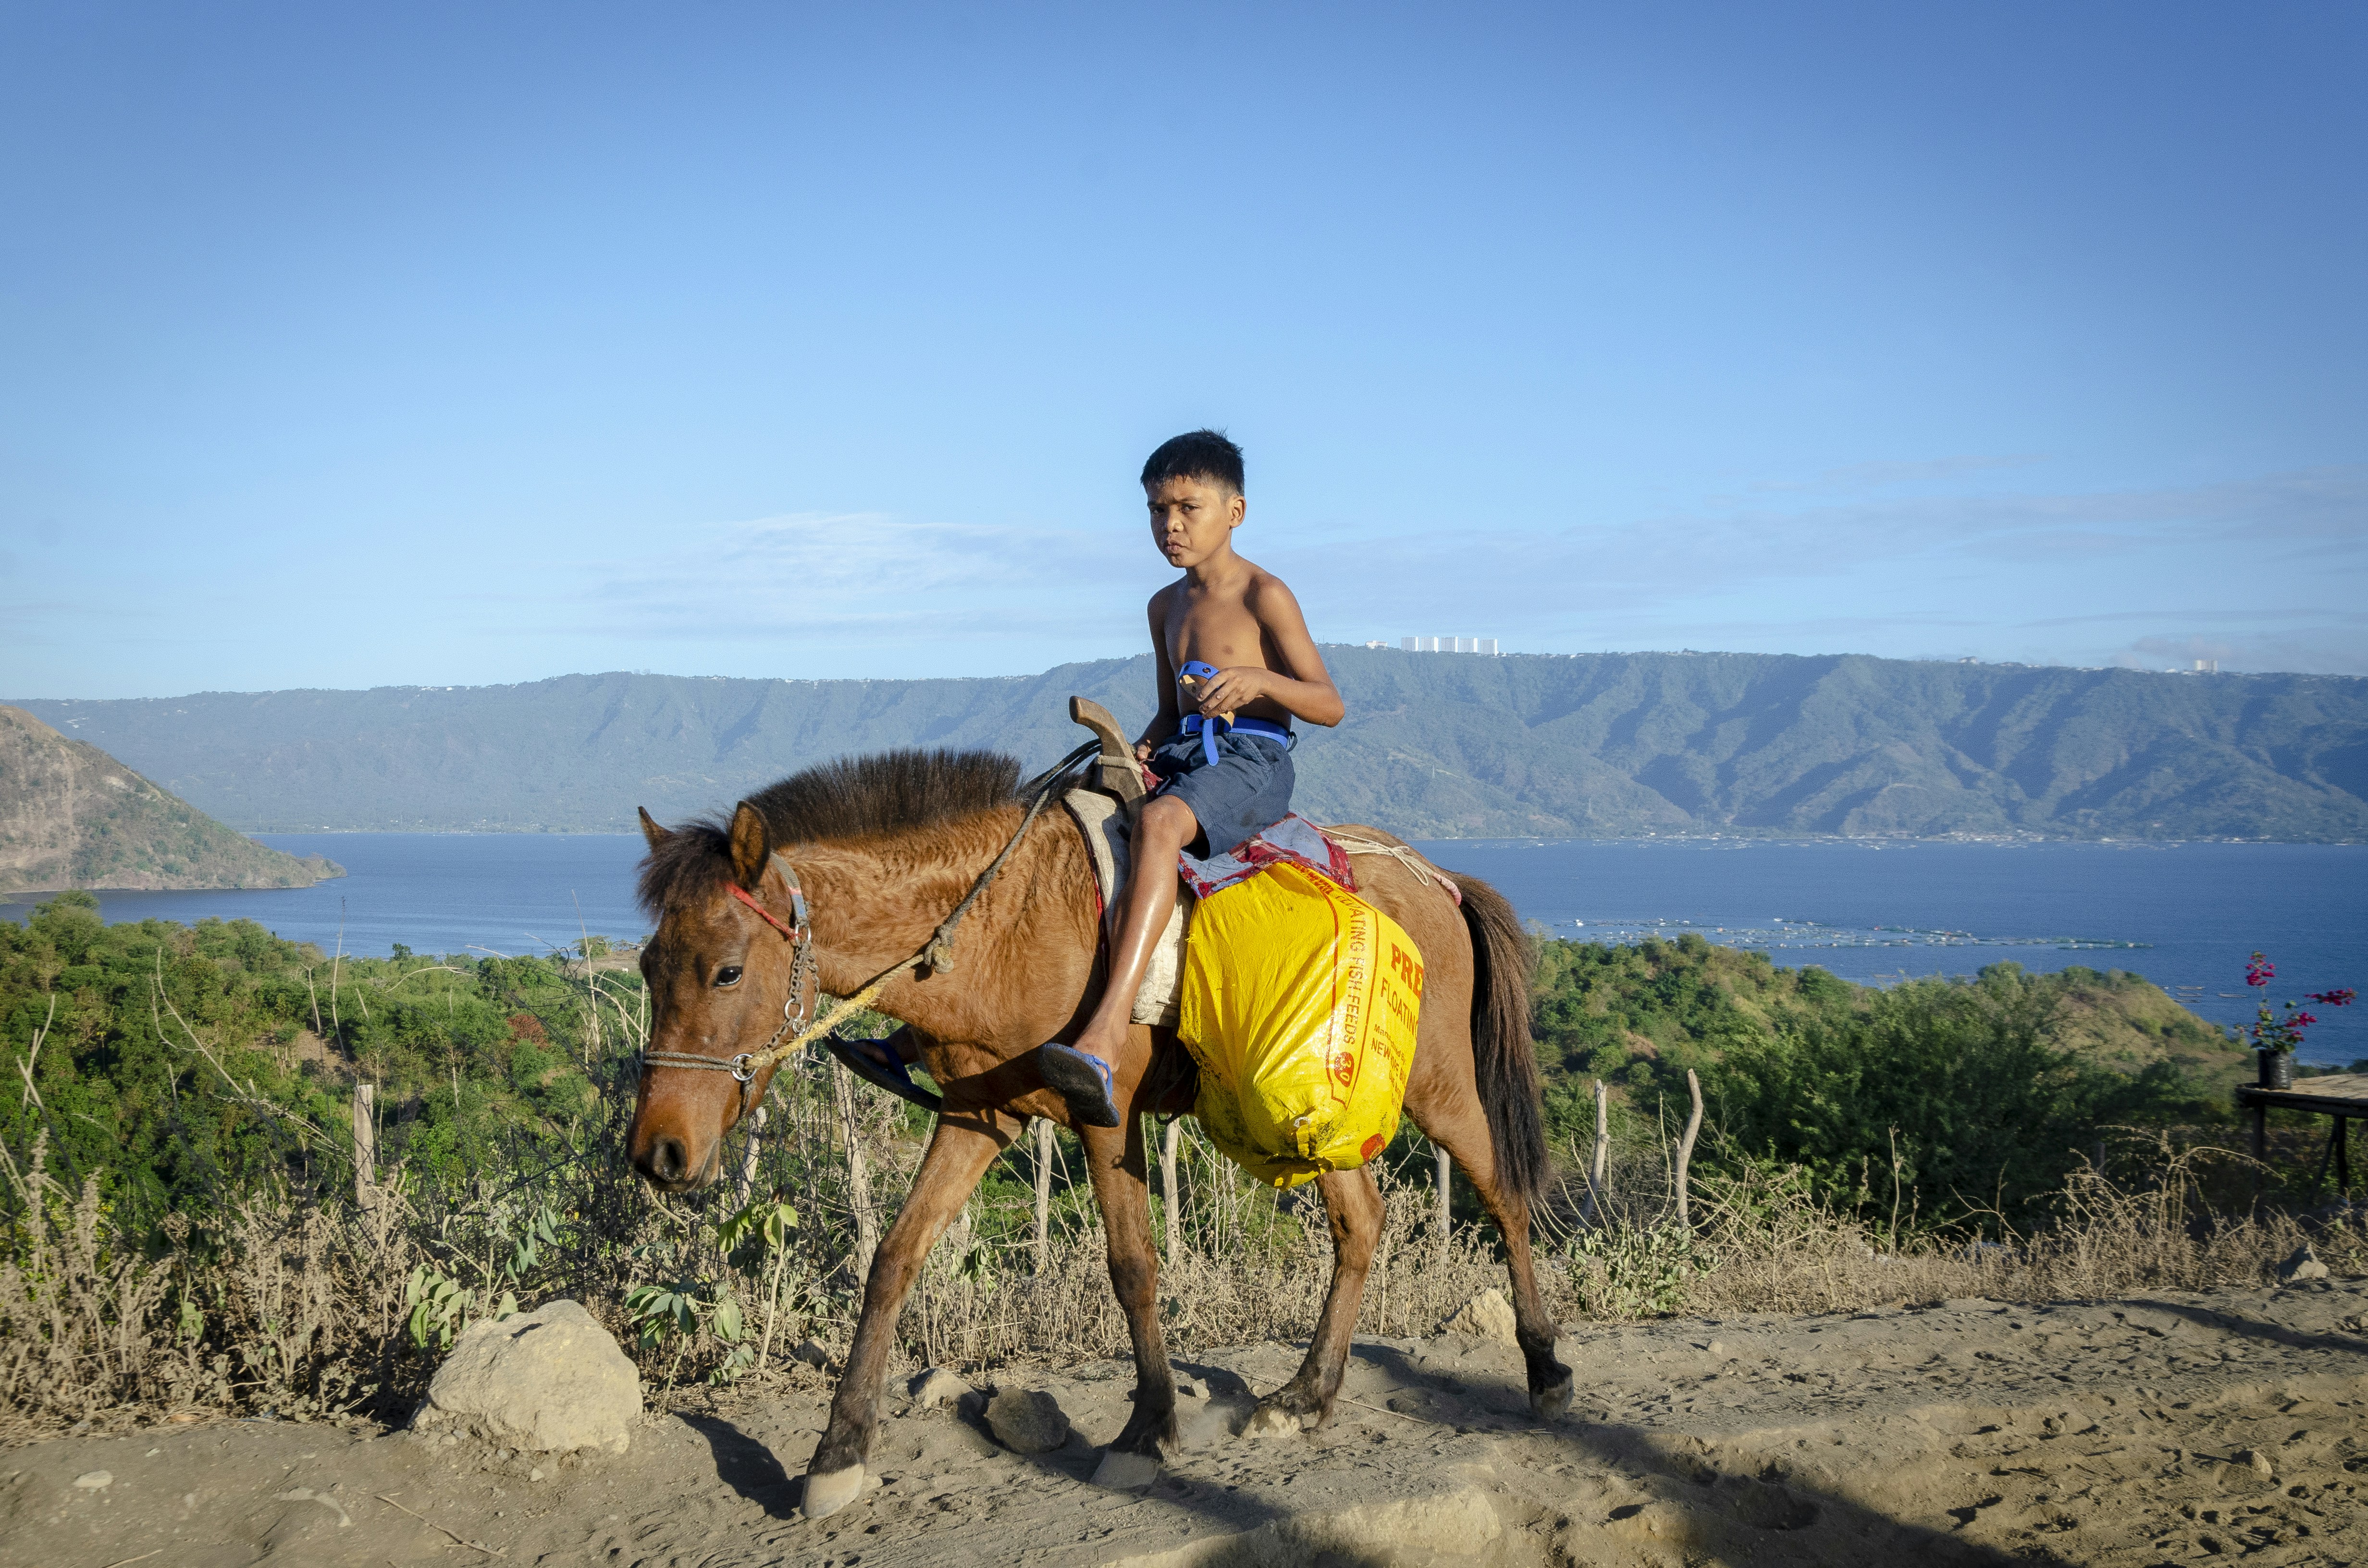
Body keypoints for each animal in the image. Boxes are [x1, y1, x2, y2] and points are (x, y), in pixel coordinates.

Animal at [626, 747, 1570, 1519]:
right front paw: (838, 1452)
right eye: (645, 965)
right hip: (1327, 1118)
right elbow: (893, 1258)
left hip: (1437, 1084)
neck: (1001, 922)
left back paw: (1544, 1368)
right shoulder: (978, 1114)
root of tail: (1438, 878)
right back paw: (1307, 1394)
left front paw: (1147, 1430)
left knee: (1503, 1193)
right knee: (1361, 1222)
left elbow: (1132, 1266)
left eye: (728, 971)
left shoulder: (1100, 1115)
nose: (658, 1151)